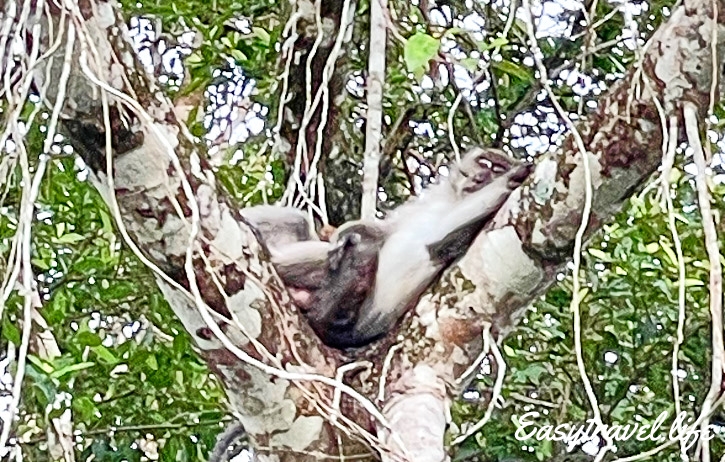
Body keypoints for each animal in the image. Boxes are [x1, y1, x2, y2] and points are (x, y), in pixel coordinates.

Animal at [241, 147, 532, 349]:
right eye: (485, 163)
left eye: (497, 168)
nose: (482, 176)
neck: (452, 200)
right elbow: (384, 231)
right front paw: (349, 230)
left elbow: (438, 242)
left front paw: (515, 177)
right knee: (302, 225)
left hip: (344, 318)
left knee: (350, 256)